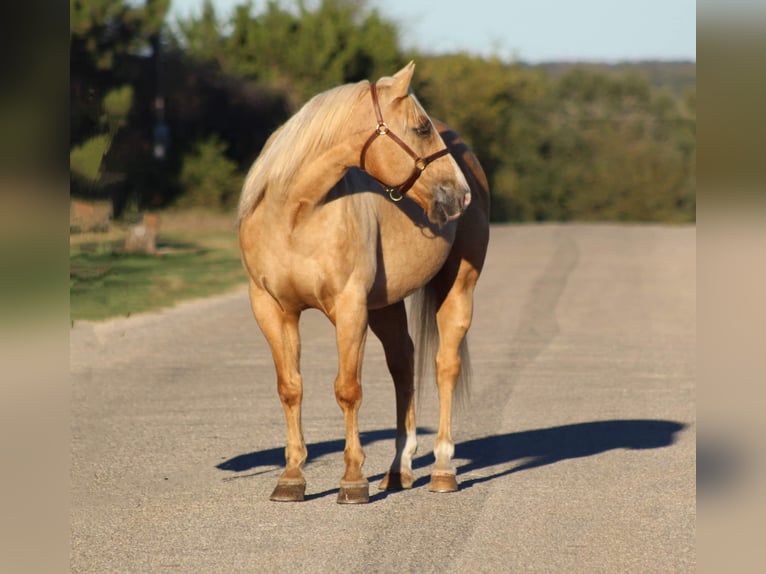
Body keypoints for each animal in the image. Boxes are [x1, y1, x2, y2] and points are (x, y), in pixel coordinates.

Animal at [237, 62, 489, 504]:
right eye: (421, 128)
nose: (459, 194)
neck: (295, 216)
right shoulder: (271, 309)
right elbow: (290, 387)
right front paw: (291, 477)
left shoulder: (349, 306)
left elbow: (348, 389)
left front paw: (353, 480)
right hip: (386, 305)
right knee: (403, 365)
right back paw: (397, 469)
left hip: (459, 287)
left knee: (445, 366)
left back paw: (443, 470)